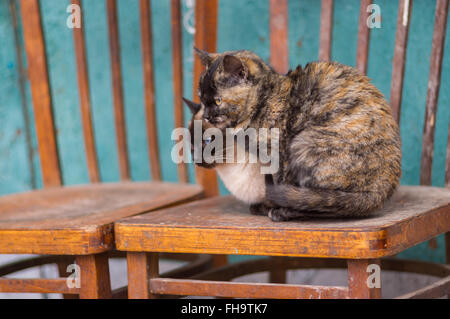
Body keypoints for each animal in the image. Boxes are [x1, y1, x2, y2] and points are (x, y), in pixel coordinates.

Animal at [185, 48, 402, 222]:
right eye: (201, 97)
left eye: (218, 101)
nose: (206, 114)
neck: (265, 100)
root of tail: (382, 190)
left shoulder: (279, 154)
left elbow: (281, 184)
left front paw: (272, 207)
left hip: (302, 143)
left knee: (324, 203)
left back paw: (283, 213)